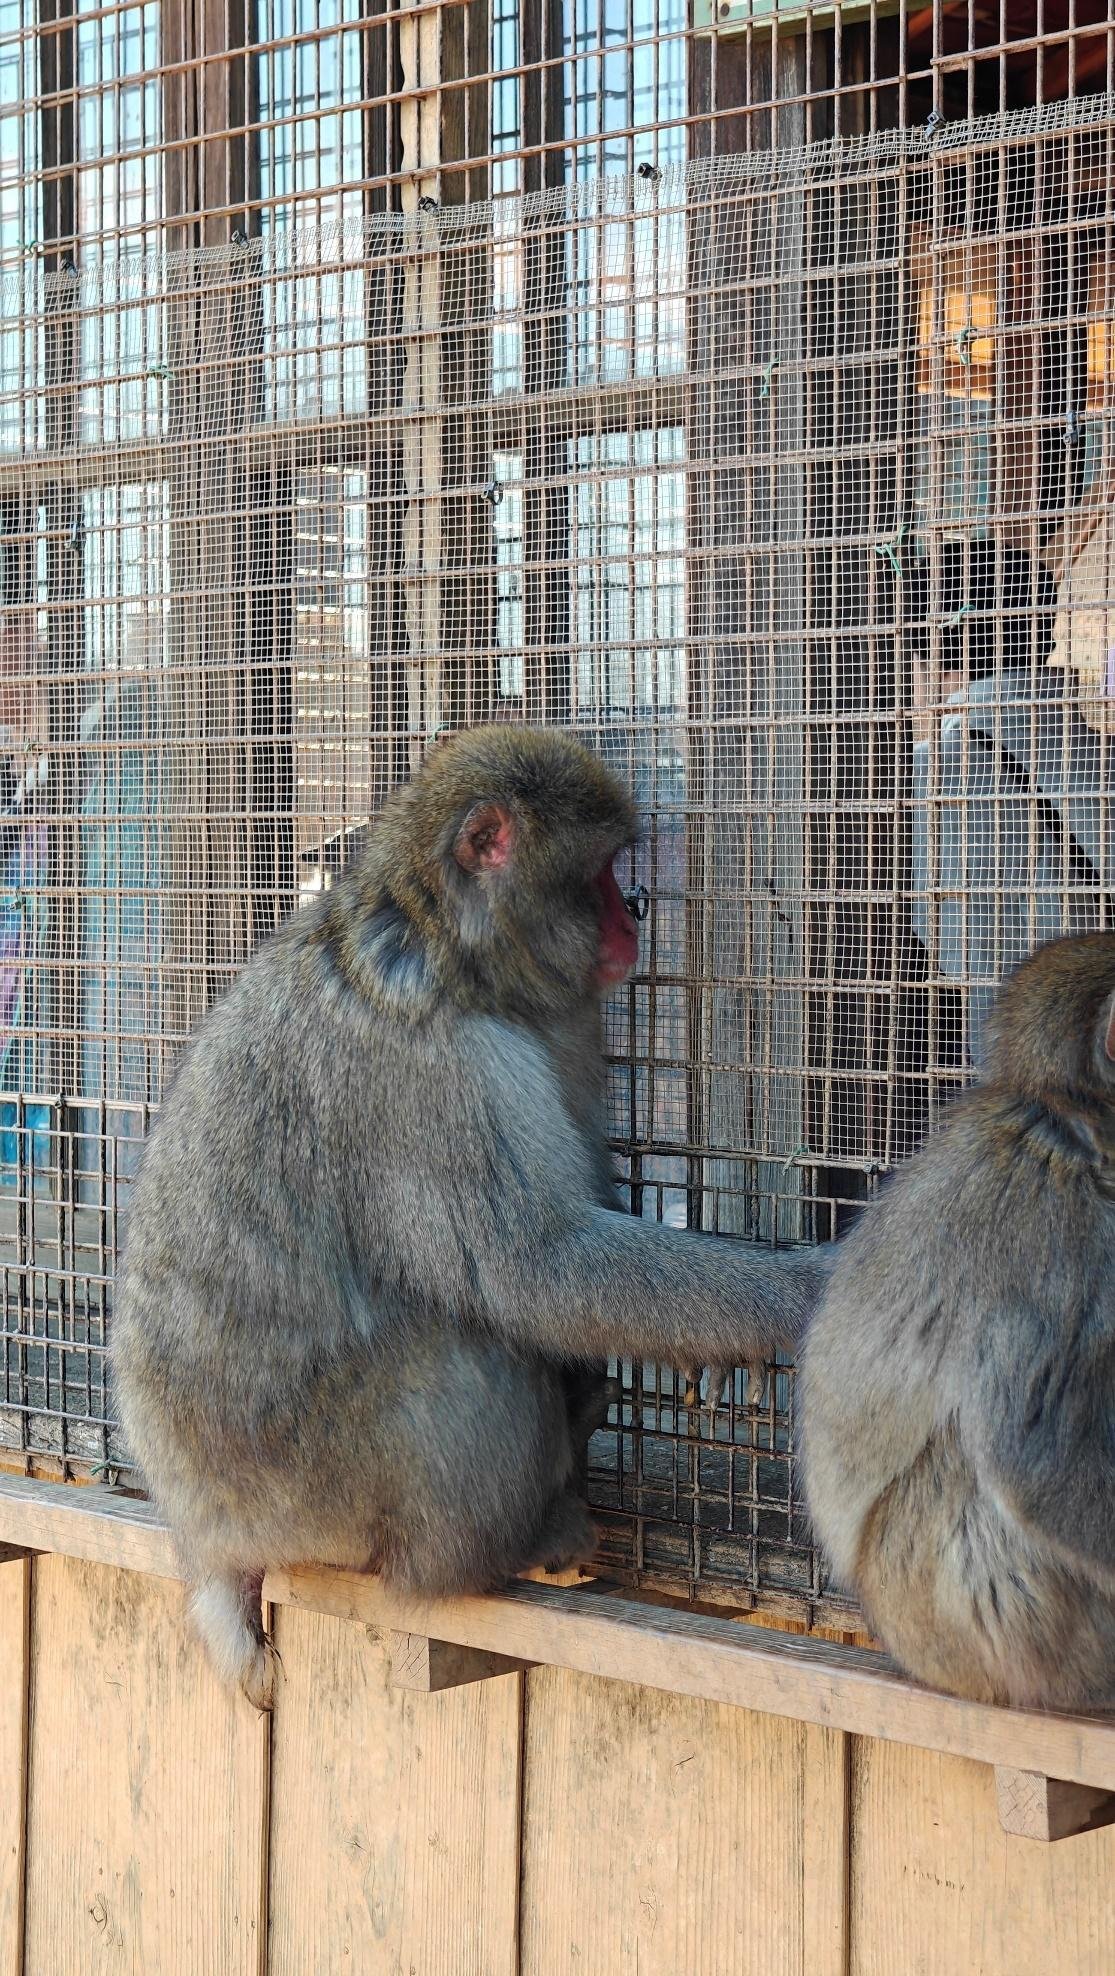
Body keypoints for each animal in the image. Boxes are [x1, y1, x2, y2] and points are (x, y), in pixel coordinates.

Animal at [112, 725, 831, 1707]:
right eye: (599, 871)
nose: (632, 916)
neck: (447, 944)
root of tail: (205, 1532)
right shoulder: (438, 1069)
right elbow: (538, 1270)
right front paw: (800, 1292)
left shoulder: (555, 1028)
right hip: (304, 1494)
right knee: (467, 1348)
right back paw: (489, 1554)